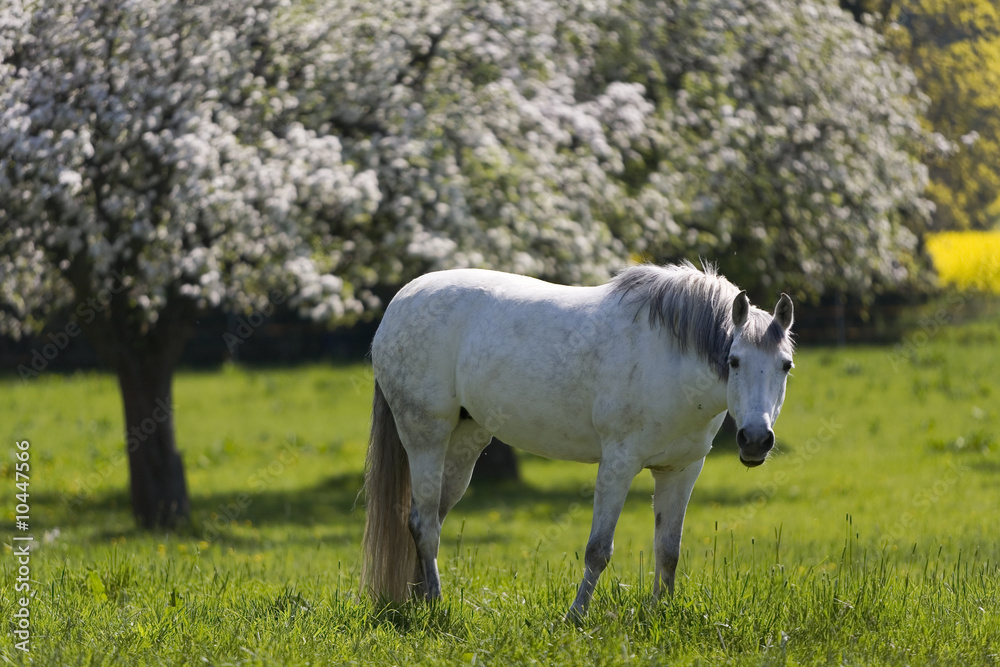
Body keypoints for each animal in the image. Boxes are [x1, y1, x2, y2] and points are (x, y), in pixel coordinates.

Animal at [364, 262, 792, 620]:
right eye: (734, 361)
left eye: (786, 365)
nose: (755, 440)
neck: (672, 360)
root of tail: (402, 300)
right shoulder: (618, 465)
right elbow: (598, 550)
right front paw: (576, 617)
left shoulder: (681, 470)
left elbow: (668, 550)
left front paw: (660, 614)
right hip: (426, 437)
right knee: (423, 524)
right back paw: (436, 607)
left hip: (464, 444)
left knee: (432, 519)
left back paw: (420, 599)